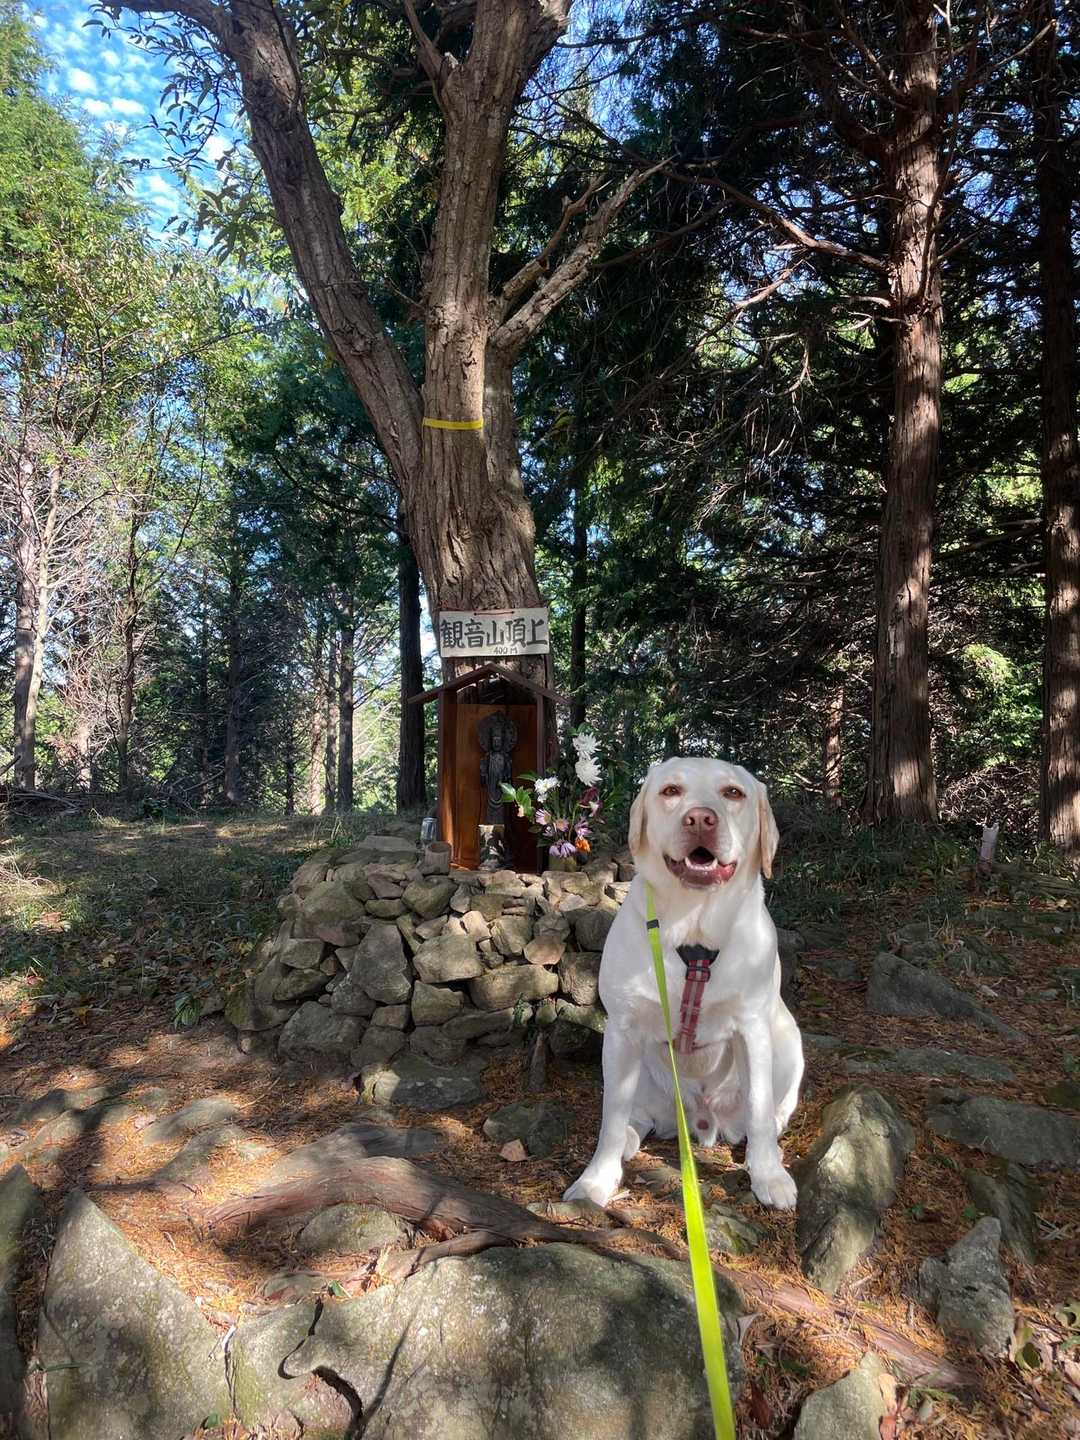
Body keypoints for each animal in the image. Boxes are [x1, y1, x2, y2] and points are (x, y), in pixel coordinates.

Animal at [564, 757, 803, 1210]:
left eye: (733, 793)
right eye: (671, 791)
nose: (700, 819)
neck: (693, 930)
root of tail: (700, 1119)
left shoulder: (752, 1027)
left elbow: (760, 1108)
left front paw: (769, 1175)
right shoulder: (622, 1029)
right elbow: (610, 1116)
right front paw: (595, 1180)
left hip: (789, 1042)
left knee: (770, 1114)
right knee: (633, 1117)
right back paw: (629, 1139)